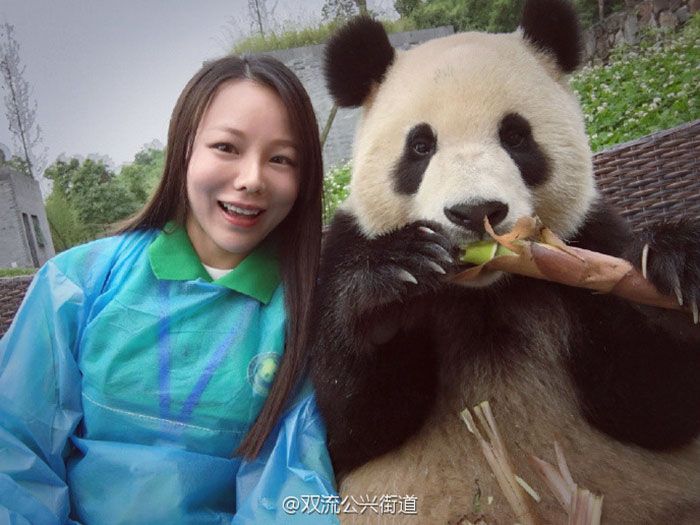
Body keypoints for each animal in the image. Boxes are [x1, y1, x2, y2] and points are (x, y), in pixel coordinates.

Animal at [309, 0, 700, 523]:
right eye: (420, 146)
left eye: (516, 137)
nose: (476, 212)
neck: (483, 291)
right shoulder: (342, 250)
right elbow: (344, 429)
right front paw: (396, 275)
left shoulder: (587, 236)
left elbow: (657, 405)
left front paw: (674, 265)